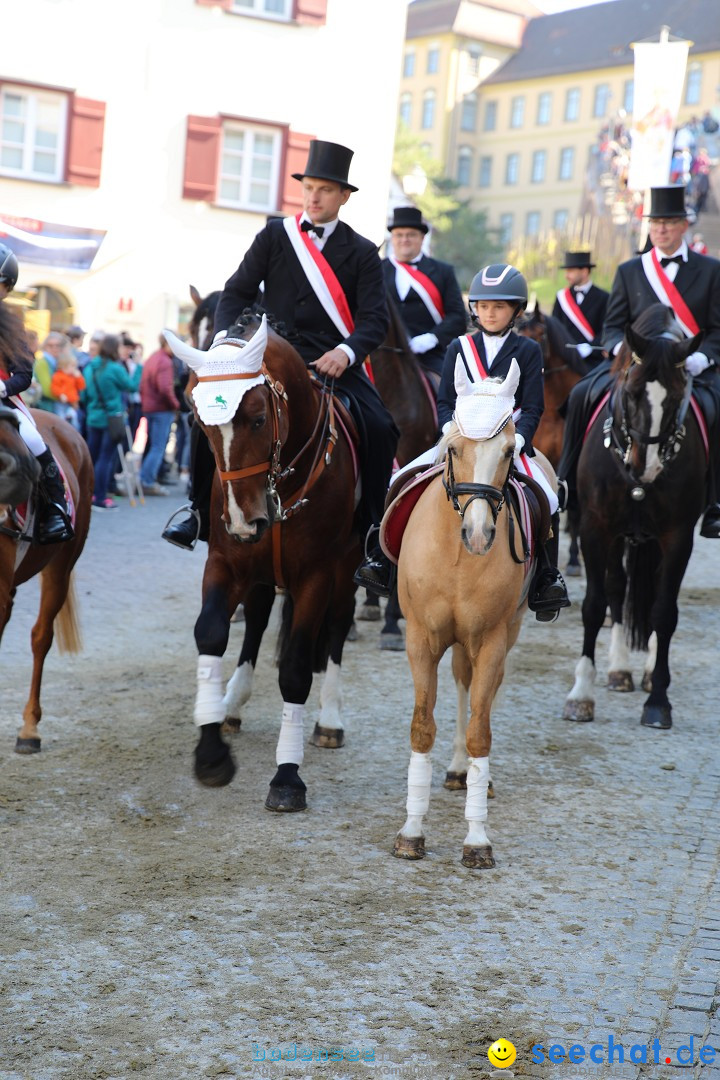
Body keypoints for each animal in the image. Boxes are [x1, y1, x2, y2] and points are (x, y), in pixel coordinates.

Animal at [167, 313, 360, 812]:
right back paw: (232, 703)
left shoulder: (316, 575)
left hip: (345, 571)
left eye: (257, 418)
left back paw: (330, 719)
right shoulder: (226, 562)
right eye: (200, 423)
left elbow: (295, 669)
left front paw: (287, 776)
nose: (244, 520)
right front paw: (211, 753)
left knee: (336, 627)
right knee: (255, 620)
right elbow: (210, 633)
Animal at [390, 360, 557, 868]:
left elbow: (481, 730)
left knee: (485, 690)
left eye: (508, 451)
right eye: (454, 447)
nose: (479, 534)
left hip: (508, 631)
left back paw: (473, 775)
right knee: (463, 682)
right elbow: (422, 727)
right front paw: (411, 831)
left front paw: (477, 838)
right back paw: (457, 770)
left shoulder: (492, 639)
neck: (458, 557)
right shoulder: (420, 639)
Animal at [561, 306, 708, 734]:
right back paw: (620, 670)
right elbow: (595, 605)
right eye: (629, 392)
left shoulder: (678, 537)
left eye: (677, 397)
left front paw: (658, 700)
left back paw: (643, 673)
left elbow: (663, 611)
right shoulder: (595, 528)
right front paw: (581, 695)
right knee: (616, 590)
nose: (646, 468)